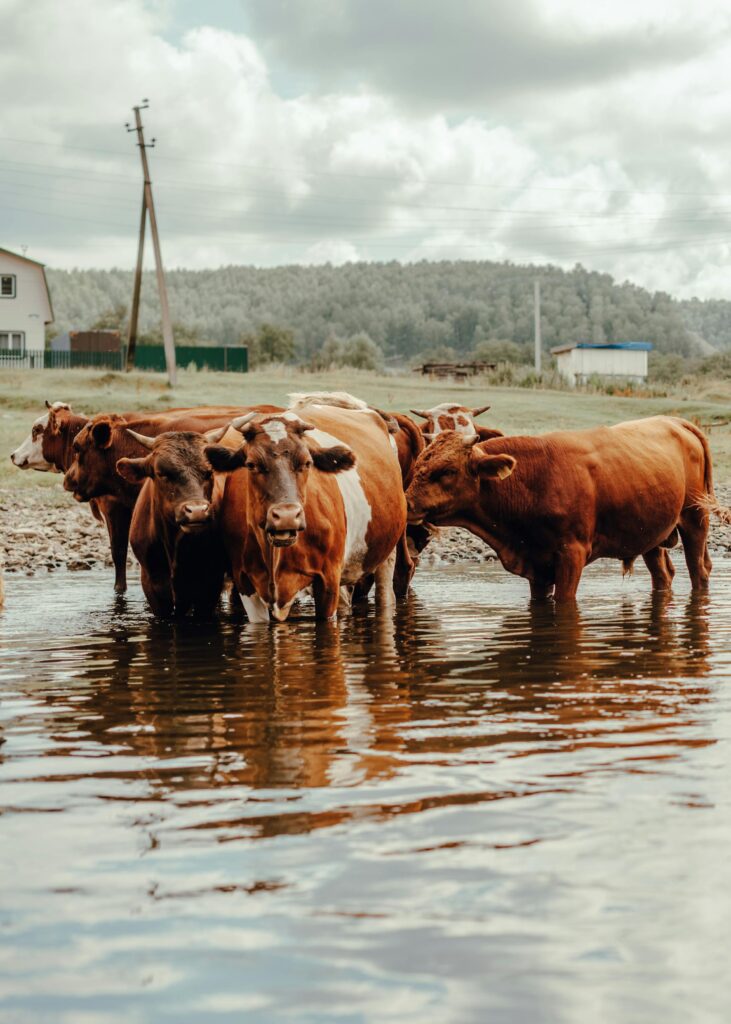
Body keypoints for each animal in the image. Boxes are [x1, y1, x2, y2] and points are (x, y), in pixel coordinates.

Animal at [206, 403, 403, 618]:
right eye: (251, 464)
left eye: (307, 463)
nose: (287, 516)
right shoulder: (245, 583)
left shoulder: (328, 579)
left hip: (387, 551)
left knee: (385, 594)